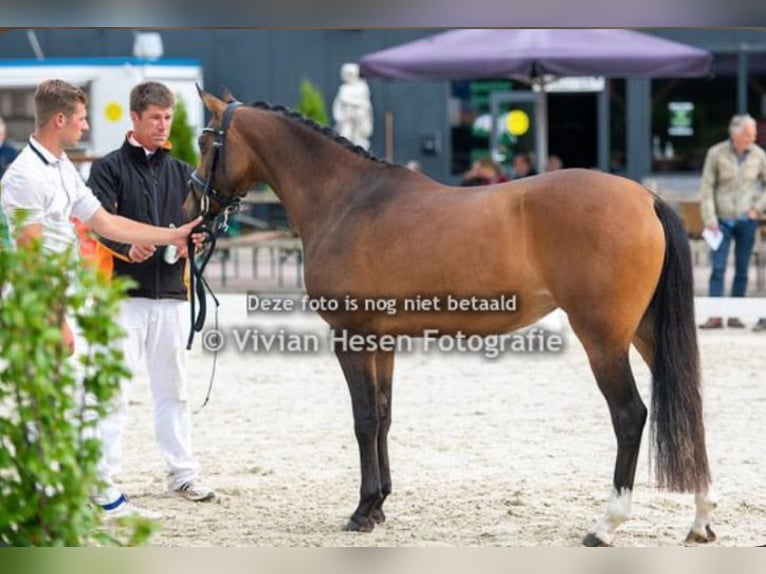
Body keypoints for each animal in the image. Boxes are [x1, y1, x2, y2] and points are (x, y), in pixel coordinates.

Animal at [184, 88, 716, 546]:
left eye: (206, 141)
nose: (193, 209)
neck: (346, 199)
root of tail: (646, 198)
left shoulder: (352, 337)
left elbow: (363, 419)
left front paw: (362, 511)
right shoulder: (382, 340)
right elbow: (383, 416)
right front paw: (380, 505)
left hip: (603, 338)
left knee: (629, 416)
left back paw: (606, 524)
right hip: (646, 332)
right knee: (690, 404)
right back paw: (701, 520)